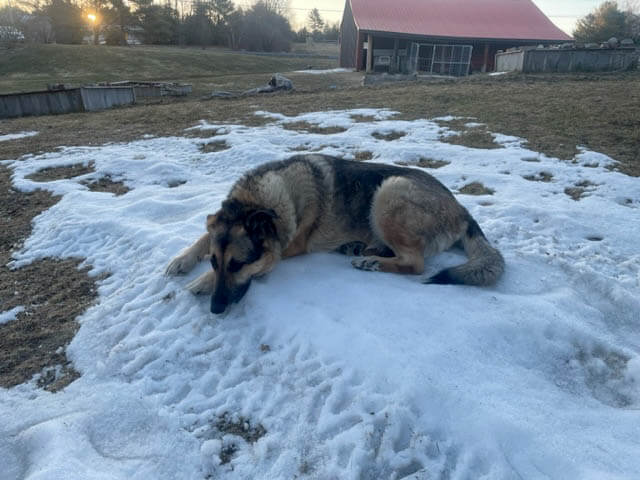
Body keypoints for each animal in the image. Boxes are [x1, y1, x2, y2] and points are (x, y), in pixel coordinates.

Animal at [165, 152, 504, 314]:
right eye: (214, 261)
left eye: (238, 265)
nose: (215, 310)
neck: (258, 201)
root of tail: (461, 208)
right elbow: (204, 236)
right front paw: (182, 260)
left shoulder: (288, 247)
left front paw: (199, 282)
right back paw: (363, 249)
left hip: (389, 192)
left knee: (416, 263)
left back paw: (371, 261)